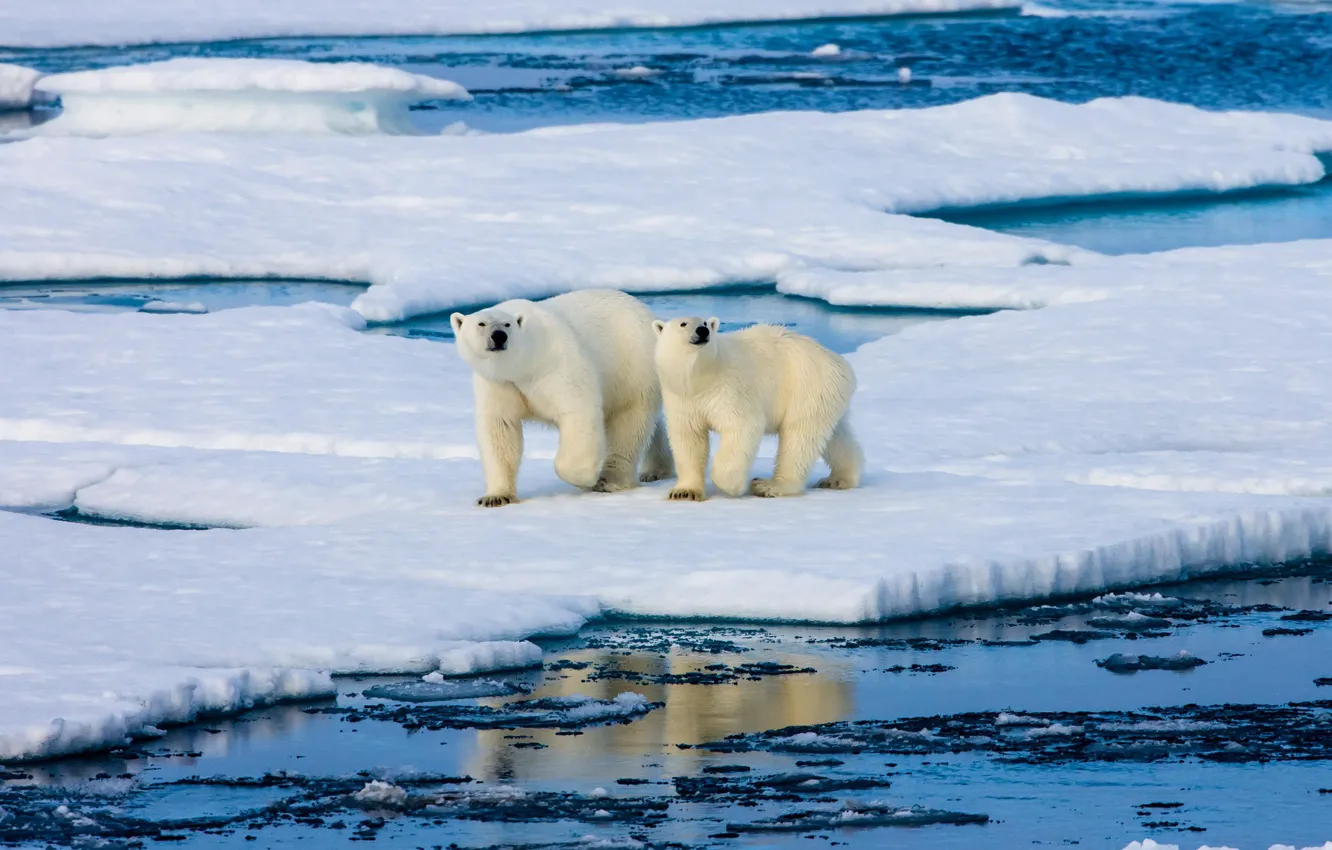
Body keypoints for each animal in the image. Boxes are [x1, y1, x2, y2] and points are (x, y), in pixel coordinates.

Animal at [451, 289, 673, 507]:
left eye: (508, 324)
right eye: (481, 324)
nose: (499, 336)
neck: (524, 364)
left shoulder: (556, 364)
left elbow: (577, 412)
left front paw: (587, 478)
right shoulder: (499, 383)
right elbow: (500, 428)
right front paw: (495, 497)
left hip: (633, 366)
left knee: (628, 422)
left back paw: (609, 480)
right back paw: (656, 470)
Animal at [652, 317, 863, 500]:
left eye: (705, 323)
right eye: (683, 323)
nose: (702, 331)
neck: (701, 379)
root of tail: (839, 362)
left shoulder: (729, 389)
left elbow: (742, 426)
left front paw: (734, 486)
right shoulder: (682, 399)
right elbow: (688, 438)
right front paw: (684, 492)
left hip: (807, 386)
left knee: (798, 436)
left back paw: (768, 486)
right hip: (826, 396)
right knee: (834, 435)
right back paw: (839, 479)